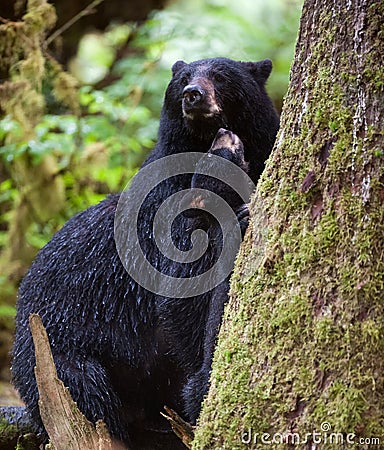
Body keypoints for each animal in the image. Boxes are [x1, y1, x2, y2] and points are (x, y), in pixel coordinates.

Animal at [12, 58, 280, 448]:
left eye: (221, 76)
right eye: (183, 79)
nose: (192, 95)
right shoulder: (160, 213)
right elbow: (180, 291)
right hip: (54, 348)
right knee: (86, 393)